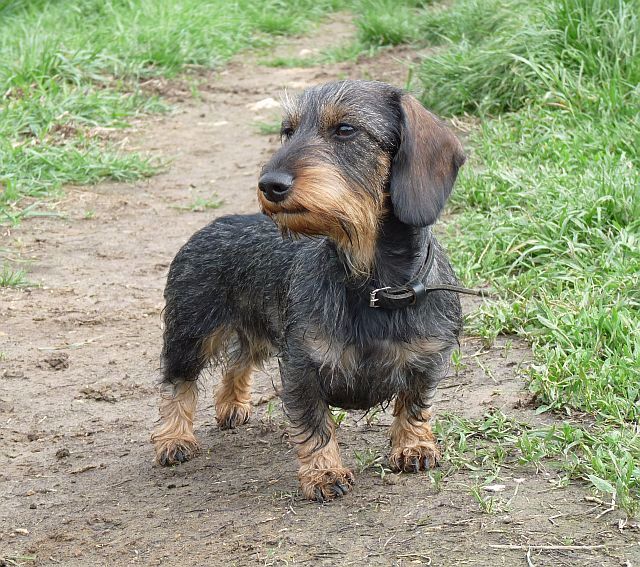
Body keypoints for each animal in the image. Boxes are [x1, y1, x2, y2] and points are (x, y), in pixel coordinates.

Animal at [152, 80, 468, 502]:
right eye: (288, 131)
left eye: (346, 129)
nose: (269, 184)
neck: (371, 284)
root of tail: (213, 224)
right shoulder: (301, 365)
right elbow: (316, 424)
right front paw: (324, 472)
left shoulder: (428, 358)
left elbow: (414, 404)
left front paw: (413, 445)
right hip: (191, 332)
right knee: (177, 384)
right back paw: (174, 438)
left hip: (259, 329)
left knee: (239, 359)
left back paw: (232, 404)